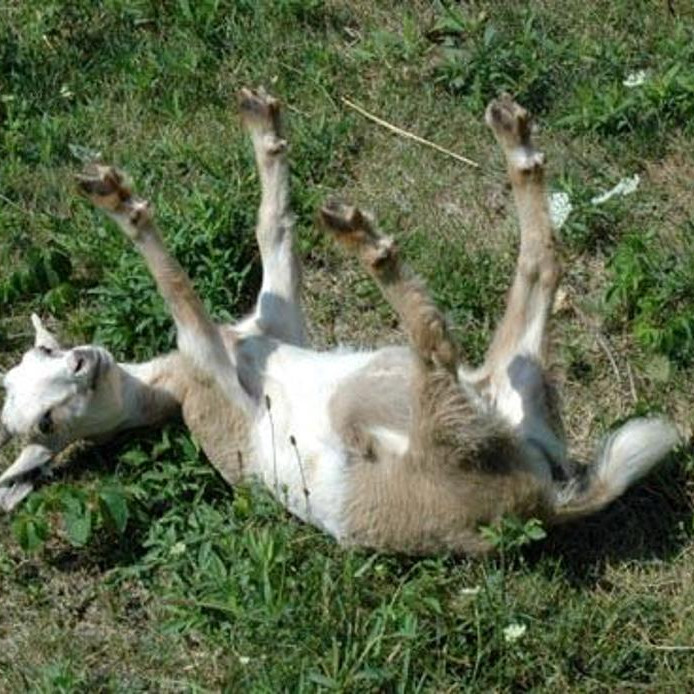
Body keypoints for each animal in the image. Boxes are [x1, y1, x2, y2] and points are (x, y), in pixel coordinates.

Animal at [0, 89, 679, 554]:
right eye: (45, 422)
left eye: (40, 354)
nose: (84, 361)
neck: (172, 385)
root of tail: (542, 503)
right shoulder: (212, 367)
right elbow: (177, 289)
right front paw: (122, 203)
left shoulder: (275, 319)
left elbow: (271, 230)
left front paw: (264, 128)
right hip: (439, 422)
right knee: (437, 343)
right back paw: (368, 244)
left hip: (510, 376)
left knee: (540, 266)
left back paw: (512, 139)